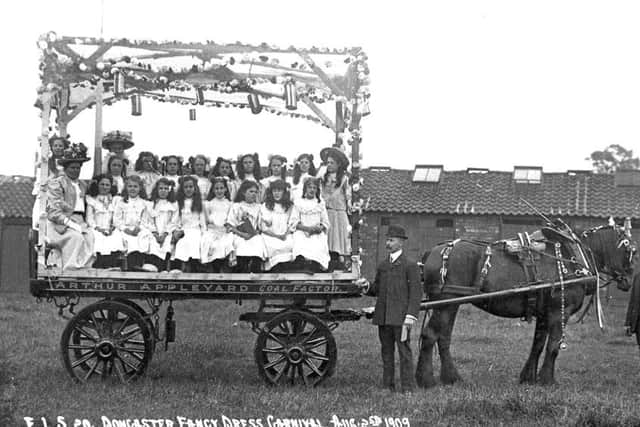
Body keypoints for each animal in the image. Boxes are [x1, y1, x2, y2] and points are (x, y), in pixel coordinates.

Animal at [416, 222, 636, 390]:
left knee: (443, 337)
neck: (572, 258)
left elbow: (537, 345)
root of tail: (432, 252)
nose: (629, 280)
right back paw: (426, 380)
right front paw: (548, 380)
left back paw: (451, 378)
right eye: (630, 251)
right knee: (431, 335)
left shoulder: (545, 313)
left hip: (452, 304)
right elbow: (553, 346)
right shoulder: (559, 312)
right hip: (446, 303)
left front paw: (529, 378)